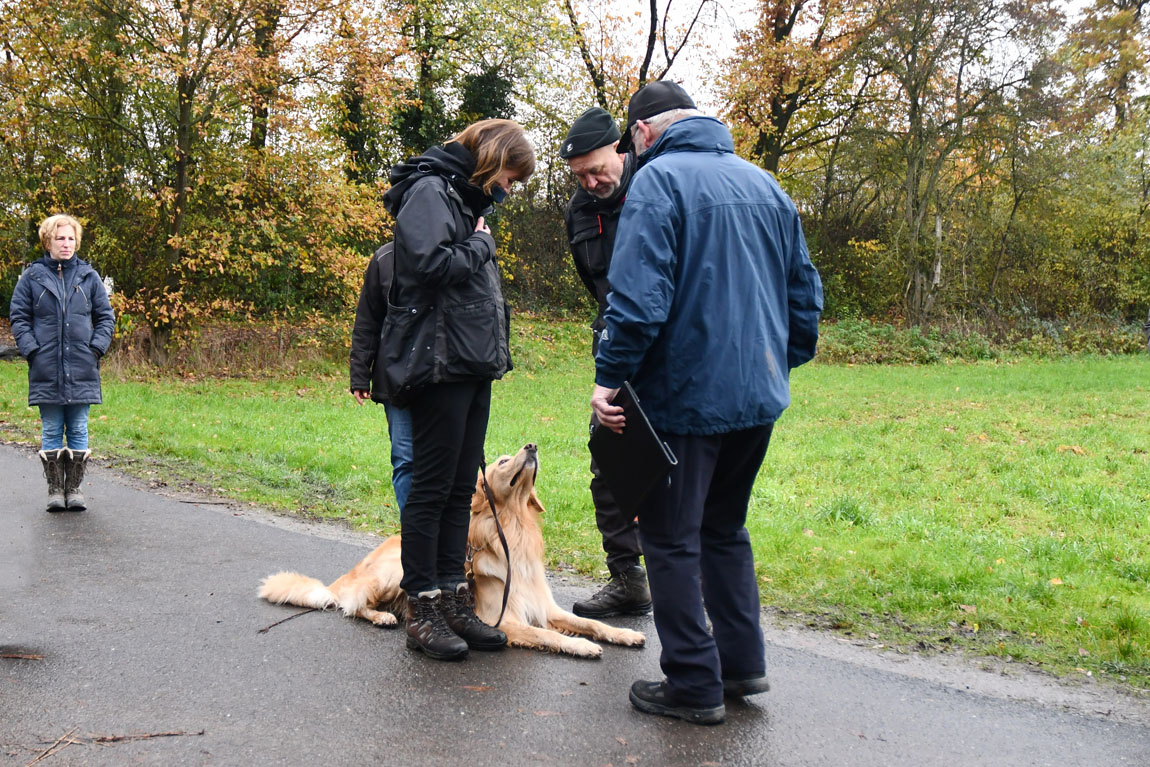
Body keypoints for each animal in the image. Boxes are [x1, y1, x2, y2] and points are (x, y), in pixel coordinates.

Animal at [255, 443, 644, 662]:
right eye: (503, 461)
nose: (532, 445)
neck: (514, 530)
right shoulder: (504, 621)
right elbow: (549, 635)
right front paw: (583, 647)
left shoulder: (547, 608)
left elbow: (590, 623)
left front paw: (624, 634)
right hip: (393, 572)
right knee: (354, 606)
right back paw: (383, 617)